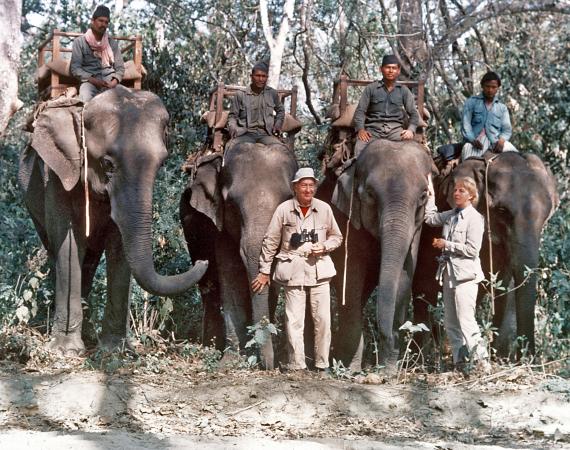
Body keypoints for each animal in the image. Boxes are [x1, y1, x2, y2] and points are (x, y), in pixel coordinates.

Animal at [17, 86, 209, 356]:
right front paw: (66, 351)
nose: (203, 260)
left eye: (161, 163)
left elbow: (119, 247)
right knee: (58, 252)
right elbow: (68, 244)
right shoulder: (55, 178)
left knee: (89, 260)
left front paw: (114, 351)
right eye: (107, 163)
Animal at [181, 142, 298, 368]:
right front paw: (231, 361)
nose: (270, 367)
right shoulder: (221, 226)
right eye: (233, 206)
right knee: (209, 290)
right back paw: (210, 347)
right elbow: (231, 272)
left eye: (288, 201)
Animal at [320, 139, 430, 370]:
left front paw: (389, 369)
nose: (380, 364)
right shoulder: (345, 218)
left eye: (423, 196)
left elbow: (405, 274)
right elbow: (351, 276)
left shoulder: (417, 228)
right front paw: (352, 369)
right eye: (370, 194)